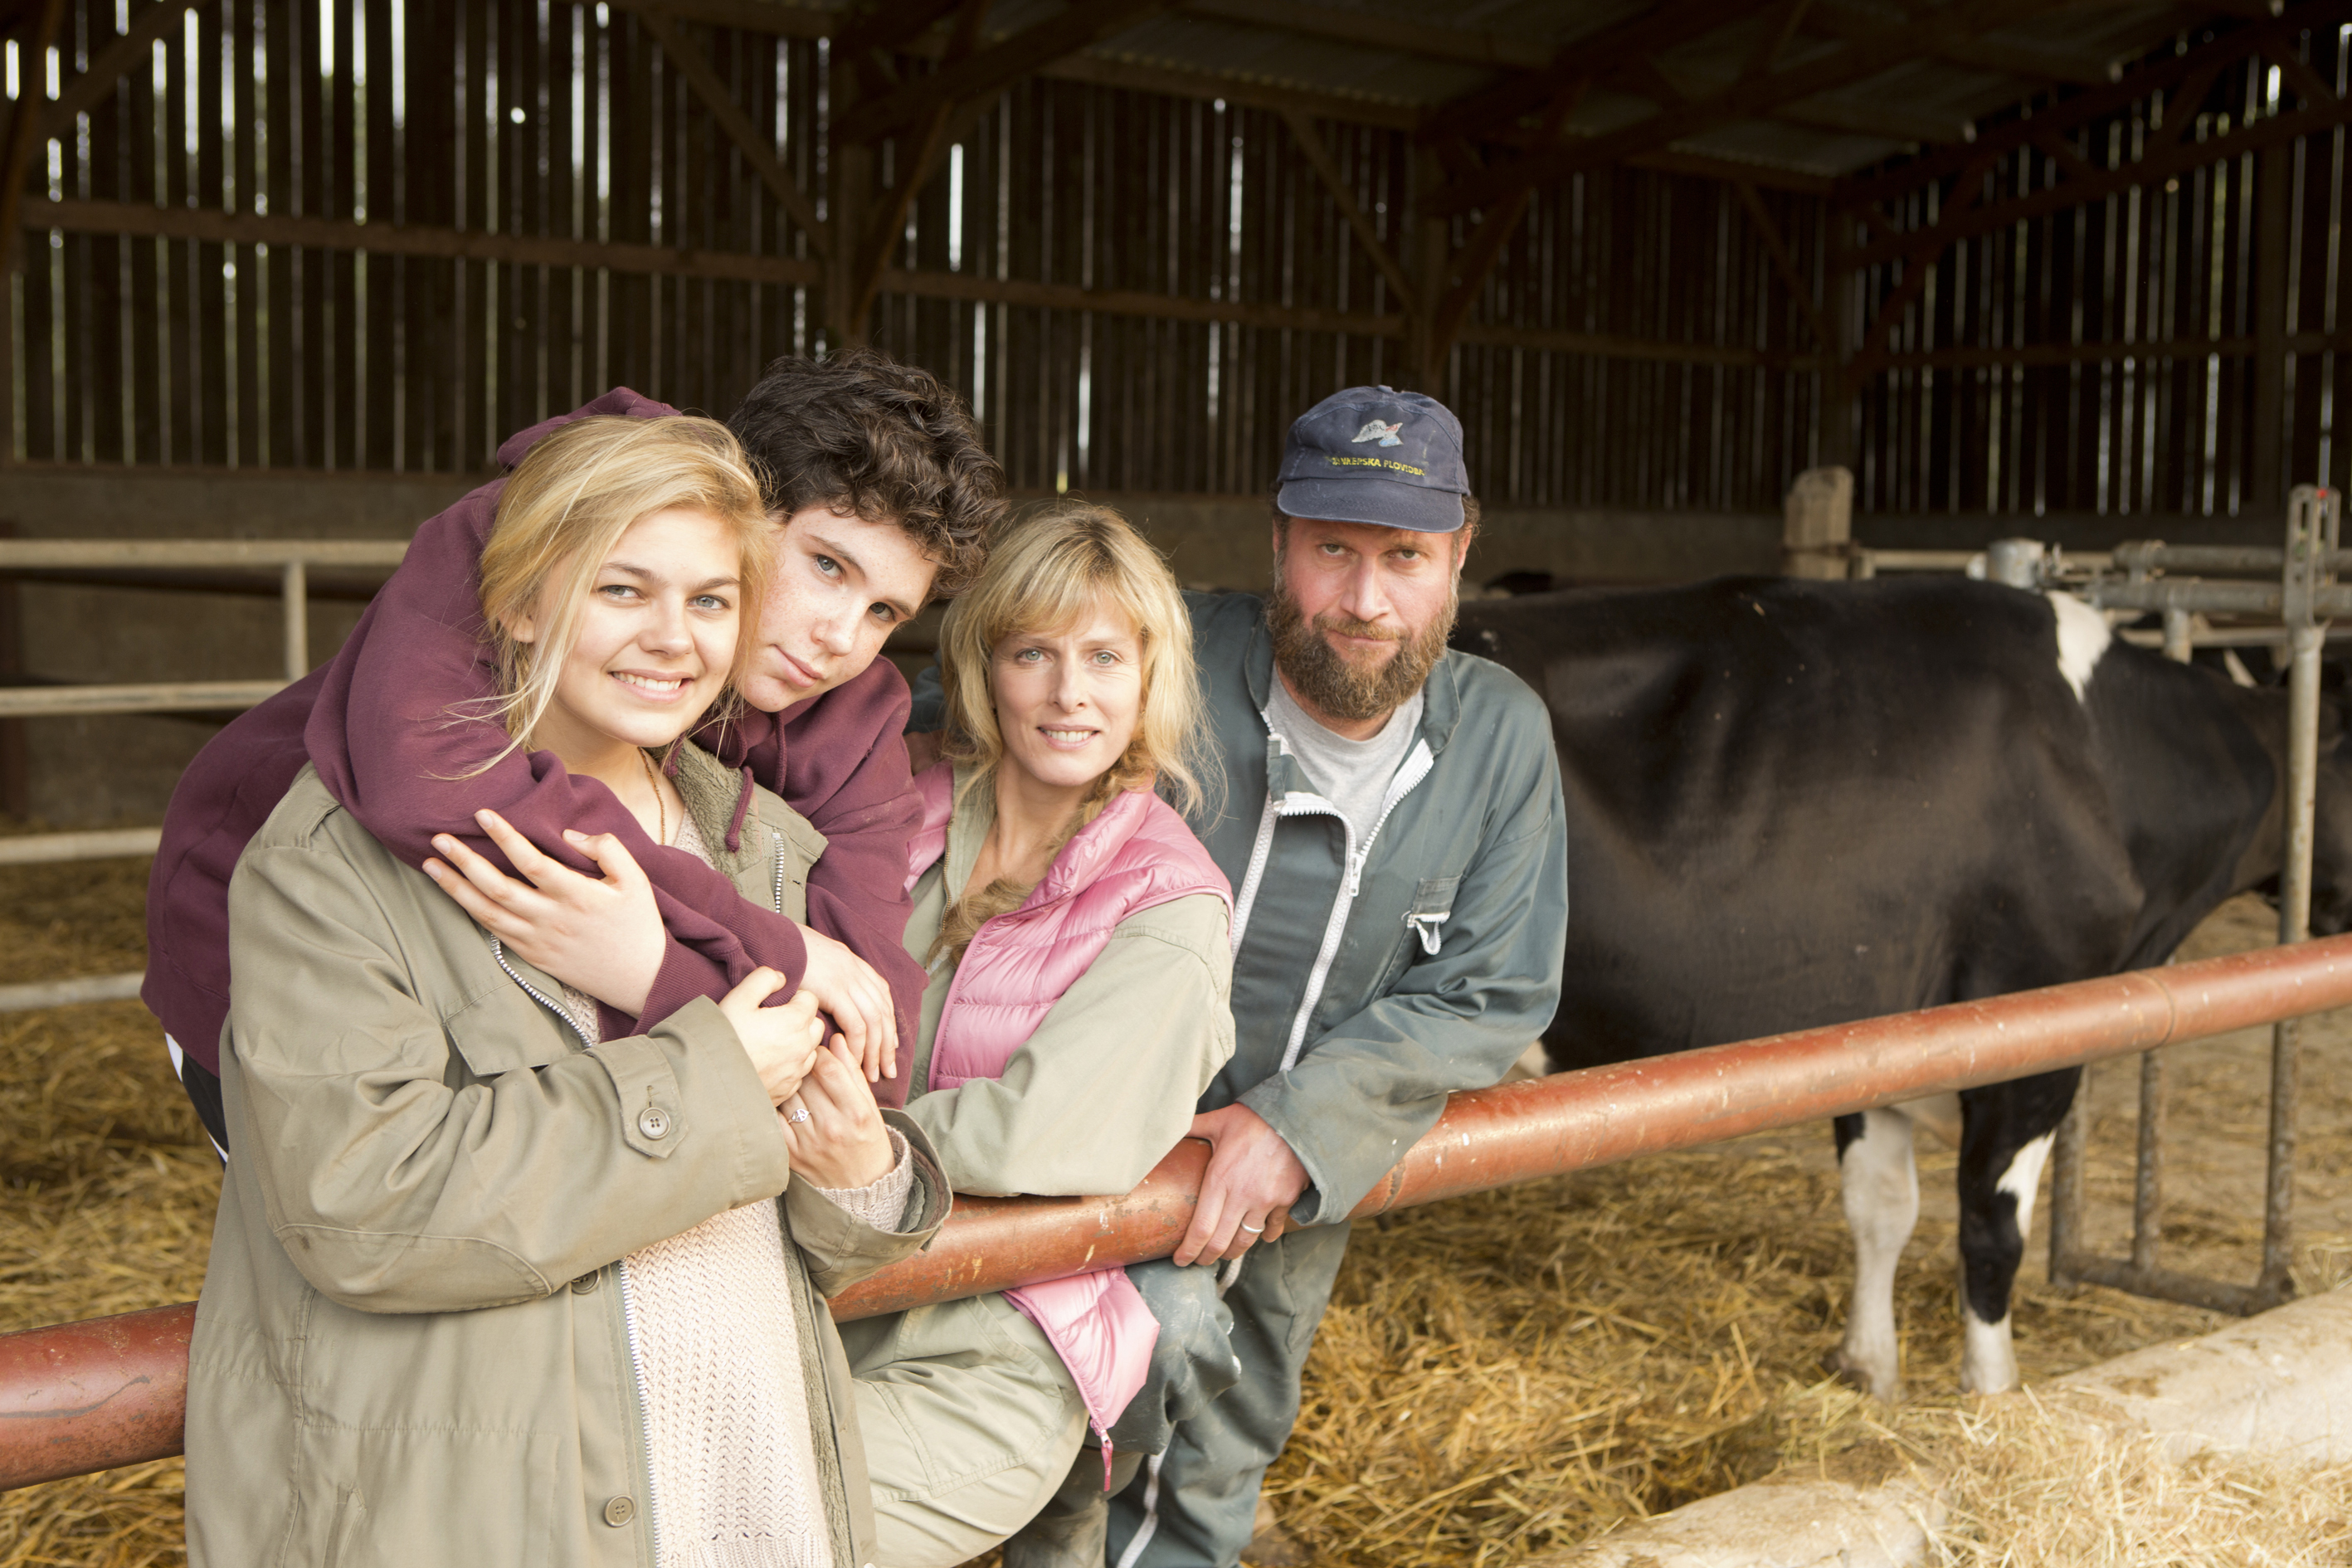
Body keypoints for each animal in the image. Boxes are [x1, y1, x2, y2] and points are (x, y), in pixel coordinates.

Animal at [1458, 573, 2342, 1400]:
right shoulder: (2031, 1033)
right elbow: (1990, 1230)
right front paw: (1990, 1397)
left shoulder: (1872, 1027)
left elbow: (1878, 1207)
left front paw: (1868, 1369)